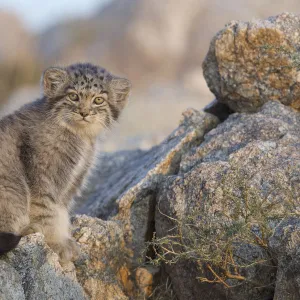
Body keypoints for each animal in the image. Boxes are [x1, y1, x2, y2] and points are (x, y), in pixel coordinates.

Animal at [0, 62, 130, 260]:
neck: (80, 136)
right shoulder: (42, 176)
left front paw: (64, 238)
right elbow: (47, 211)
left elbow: (60, 212)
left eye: (98, 100)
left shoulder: (71, 182)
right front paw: (56, 242)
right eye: (73, 96)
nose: (84, 113)